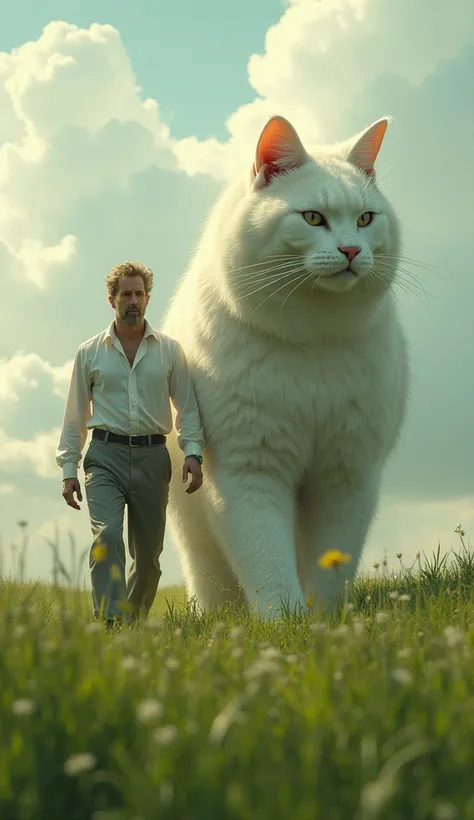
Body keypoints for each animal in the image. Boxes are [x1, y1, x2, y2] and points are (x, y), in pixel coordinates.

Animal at [161, 113, 410, 616]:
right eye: (313, 217)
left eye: (365, 218)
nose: (352, 251)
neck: (311, 339)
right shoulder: (248, 469)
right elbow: (265, 559)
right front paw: (284, 621)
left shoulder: (346, 473)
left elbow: (332, 561)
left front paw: (326, 620)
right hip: (194, 534)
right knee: (213, 580)